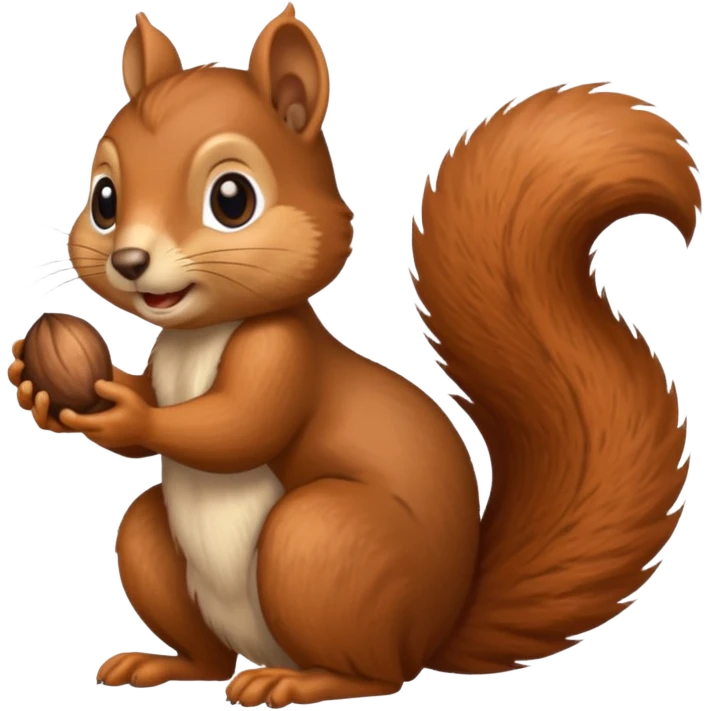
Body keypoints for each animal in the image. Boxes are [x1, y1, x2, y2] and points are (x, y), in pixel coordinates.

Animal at [10, 5, 700, 707]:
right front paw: (37, 387)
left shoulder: (283, 356)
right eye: (104, 199)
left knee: (377, 674)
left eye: (232, 199)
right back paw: (165, 665)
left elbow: (239, 426)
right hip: (162, 547)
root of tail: (437, 632)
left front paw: (128, 415)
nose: (129, 261)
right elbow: (158, 402)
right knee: (204, 644)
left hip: (322, 542)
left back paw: (297, 681)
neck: (202, 332)